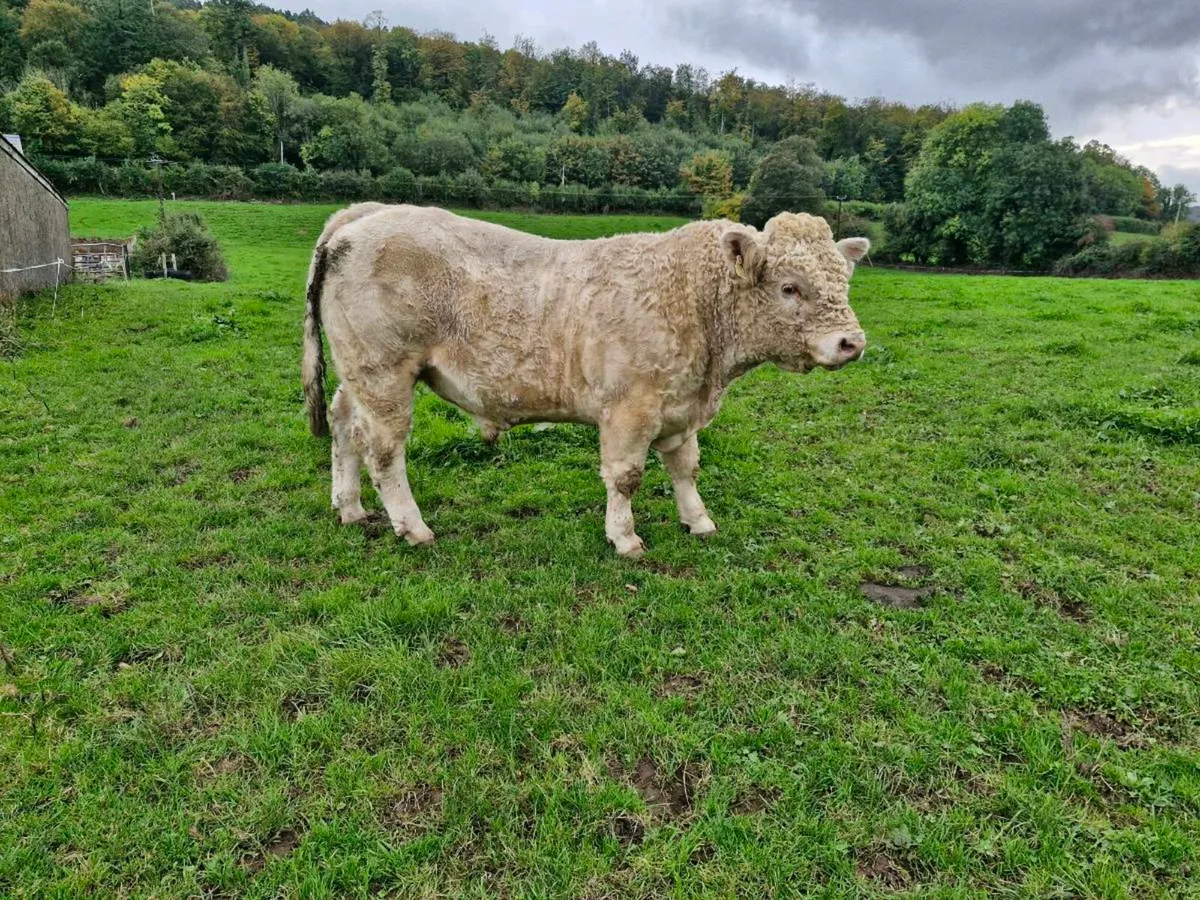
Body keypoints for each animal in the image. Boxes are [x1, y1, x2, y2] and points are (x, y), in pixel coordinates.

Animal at [302, 204, 868, 557]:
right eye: (790, 287)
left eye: (844, 281)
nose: (852, 342)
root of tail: (363, 215)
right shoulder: (629, 407)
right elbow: (626, 477)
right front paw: (624, 538)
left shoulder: (680, 407)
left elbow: (685, 467)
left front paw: (698, 520)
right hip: (384, 371)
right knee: (383, 451)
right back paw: (413, 527)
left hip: (358, 374)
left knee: (343, 424)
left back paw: (349, 508)